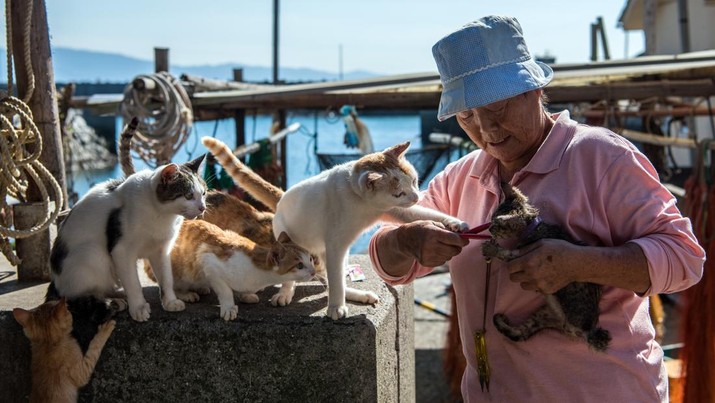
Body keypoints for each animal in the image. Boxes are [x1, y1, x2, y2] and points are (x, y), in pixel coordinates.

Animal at [48, 117, 207, 322]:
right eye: (188, 195)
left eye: (203, 193)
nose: (202, 207)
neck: (162, 216)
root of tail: (55, 283)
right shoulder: (121, 251)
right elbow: (133, 282)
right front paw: (138, 307)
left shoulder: (162, 250)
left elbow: (166, 278)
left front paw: (170, 301)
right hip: (93, 253)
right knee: (81, 295)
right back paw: (114, 301)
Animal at [171, 219, 316, 320]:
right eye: (299, 265)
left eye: (310, 259)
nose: (314, 271)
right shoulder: (208, 262)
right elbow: (225, 290)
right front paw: (229, 307)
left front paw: (246, 295)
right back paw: (186, 294)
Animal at [201, 137, 470, 320]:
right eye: (398, 193)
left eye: (414, 181)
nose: (415, 196)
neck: (364, 204)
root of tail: (282, 196)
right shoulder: (335, 244)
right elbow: (335, 280)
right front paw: (336, 308)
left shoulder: (399, 212)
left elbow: (426, 214)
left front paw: (455, 223)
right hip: (298, 244)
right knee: (305, 277)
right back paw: (286, 293)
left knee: (335, 277)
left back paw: (356, 294)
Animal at [482, 181, 608, 352]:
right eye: (491, 219)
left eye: (496, 225)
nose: (489, 228)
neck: (534, 228)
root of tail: (588, 329)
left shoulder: (523, 257)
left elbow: (505, 253)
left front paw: (491, 249)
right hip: (542, 316)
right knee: (520, 333)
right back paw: (501, 321)